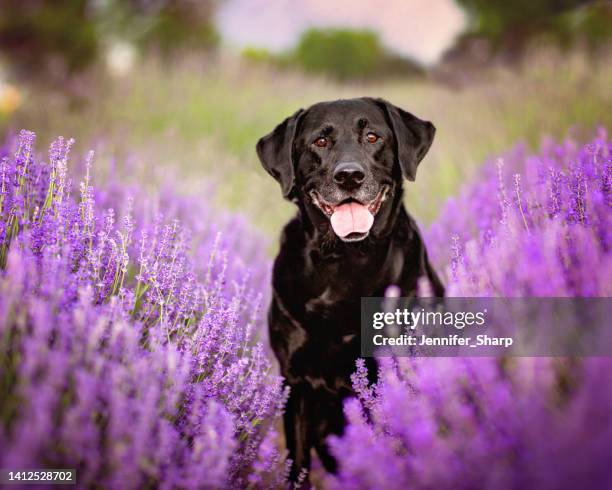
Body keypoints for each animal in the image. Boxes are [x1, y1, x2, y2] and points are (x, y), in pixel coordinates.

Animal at [256, 97, 442, 480]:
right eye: (320, 141)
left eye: (373, 137)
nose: (349, 175)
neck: (343, 262)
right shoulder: (295, 384)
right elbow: (297, 469)